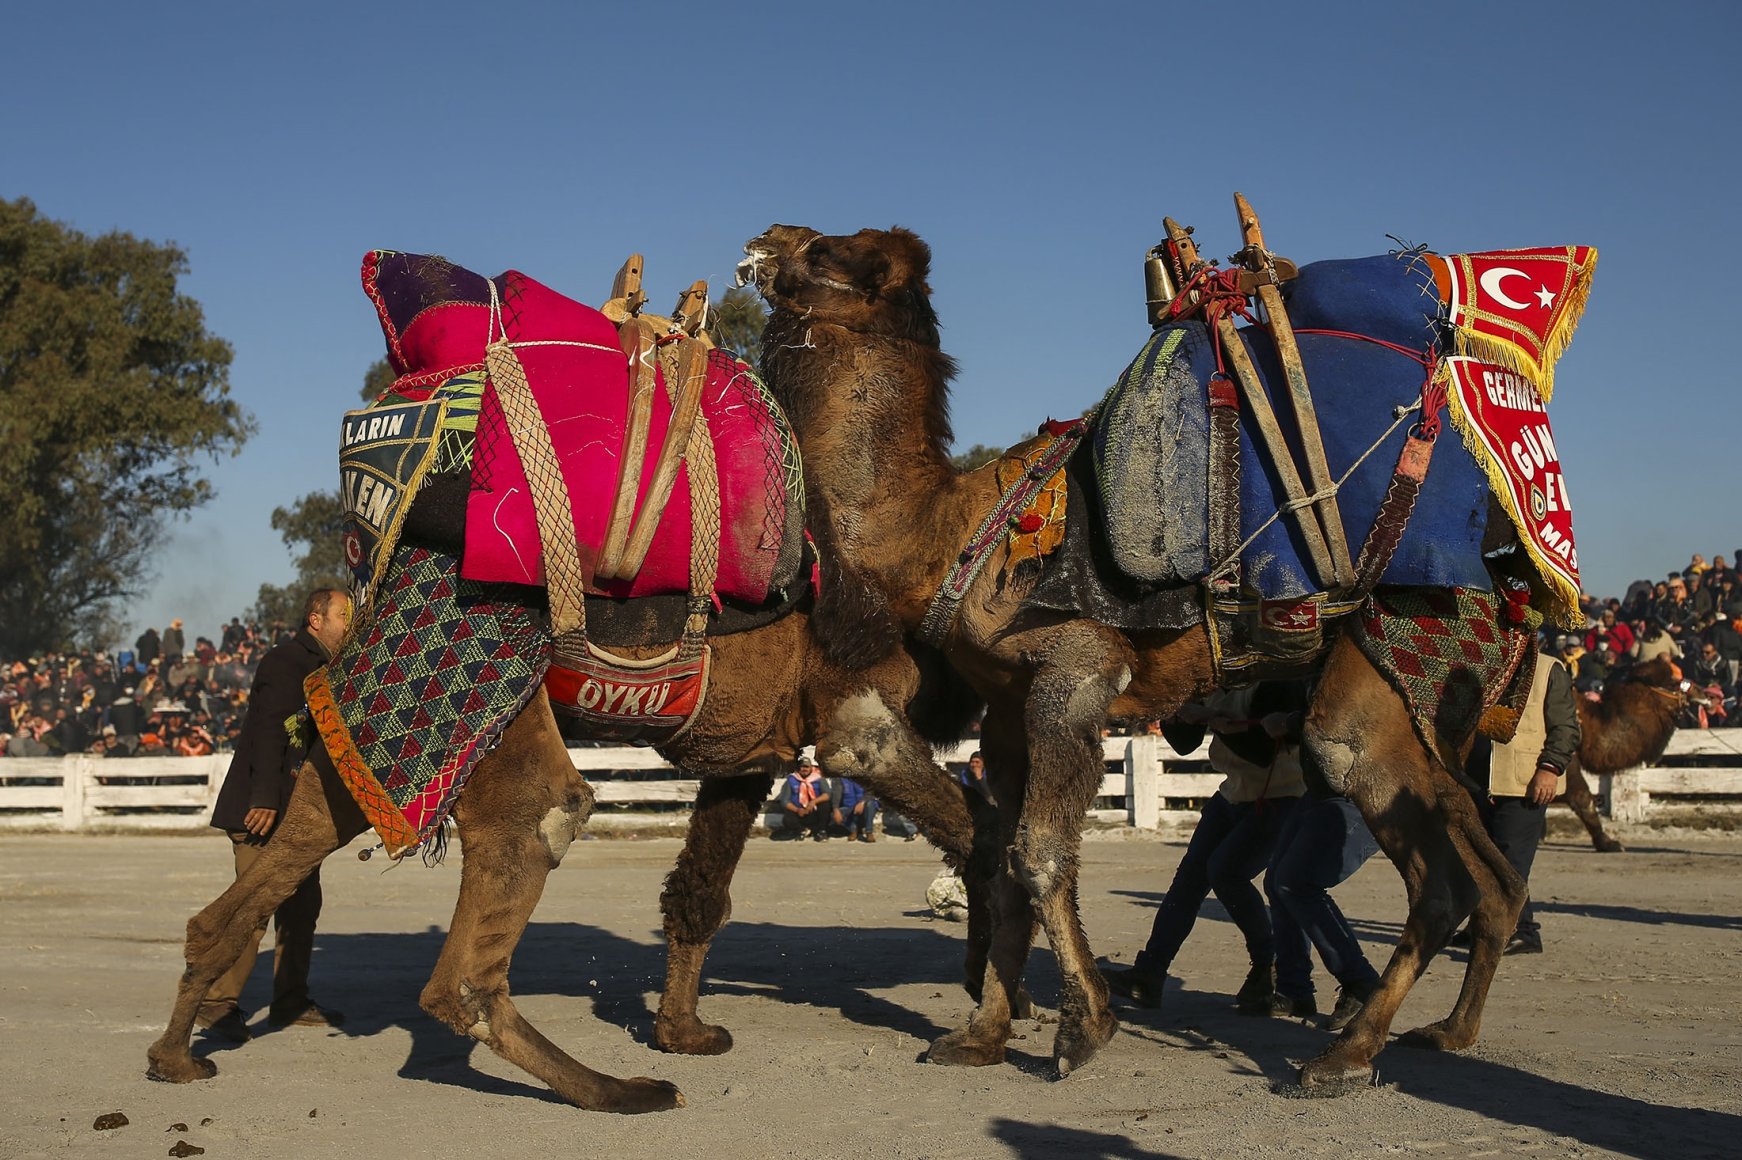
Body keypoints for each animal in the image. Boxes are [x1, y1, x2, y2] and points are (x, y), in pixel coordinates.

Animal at [742, 222, 1560, 1086]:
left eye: (828, 253)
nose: (768, 238)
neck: (942, 535)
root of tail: (1511, 588)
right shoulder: (1005, 707)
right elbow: (1006, 862)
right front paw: (982, 1033)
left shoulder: (1076, 669)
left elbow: (1038, 852)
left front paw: (1083, 1029)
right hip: (1437, 723)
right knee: (1491, 876)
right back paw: (1449, 1031)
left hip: (1380, 688)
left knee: (1423, 867)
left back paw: (1345, 1053)